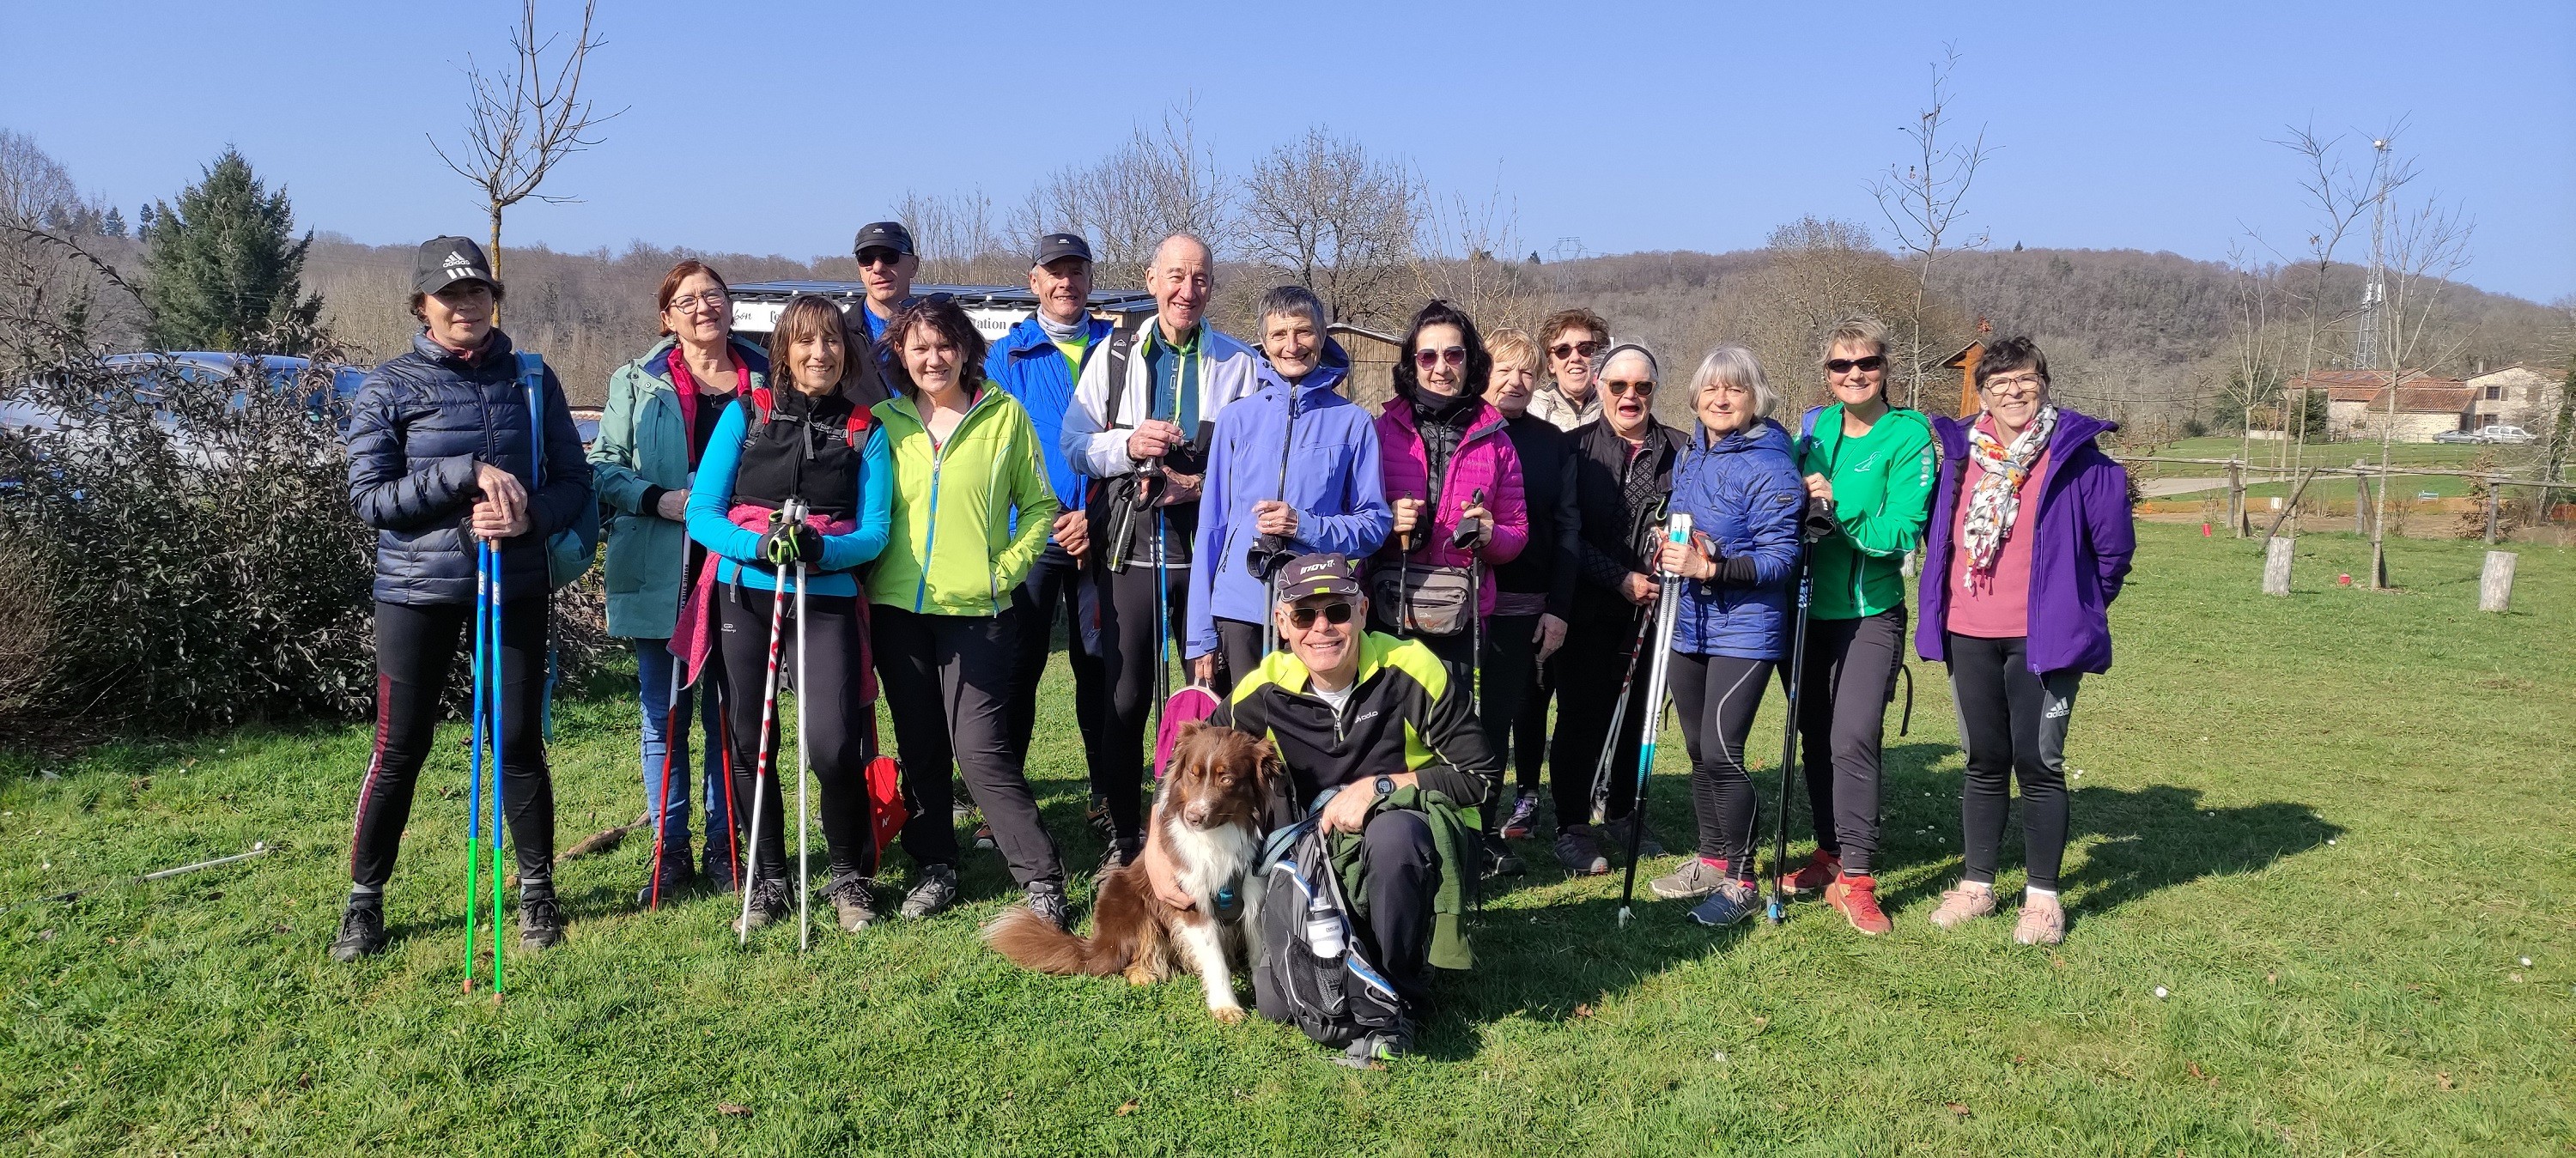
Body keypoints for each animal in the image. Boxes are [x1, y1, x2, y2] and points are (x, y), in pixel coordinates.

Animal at [979, 725, 1273, 1024]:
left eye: (1226, 779)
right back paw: (1143, 973)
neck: (1218, 836)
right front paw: (1226, 1006)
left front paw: (1264, 988)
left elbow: (1258, 950)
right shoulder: (1190, 902)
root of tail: (1099, 944)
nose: (1193, 818)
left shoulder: (1252, 895)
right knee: (1127, 960)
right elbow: (1214, 959)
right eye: (1194, 773)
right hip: (1131, 902)